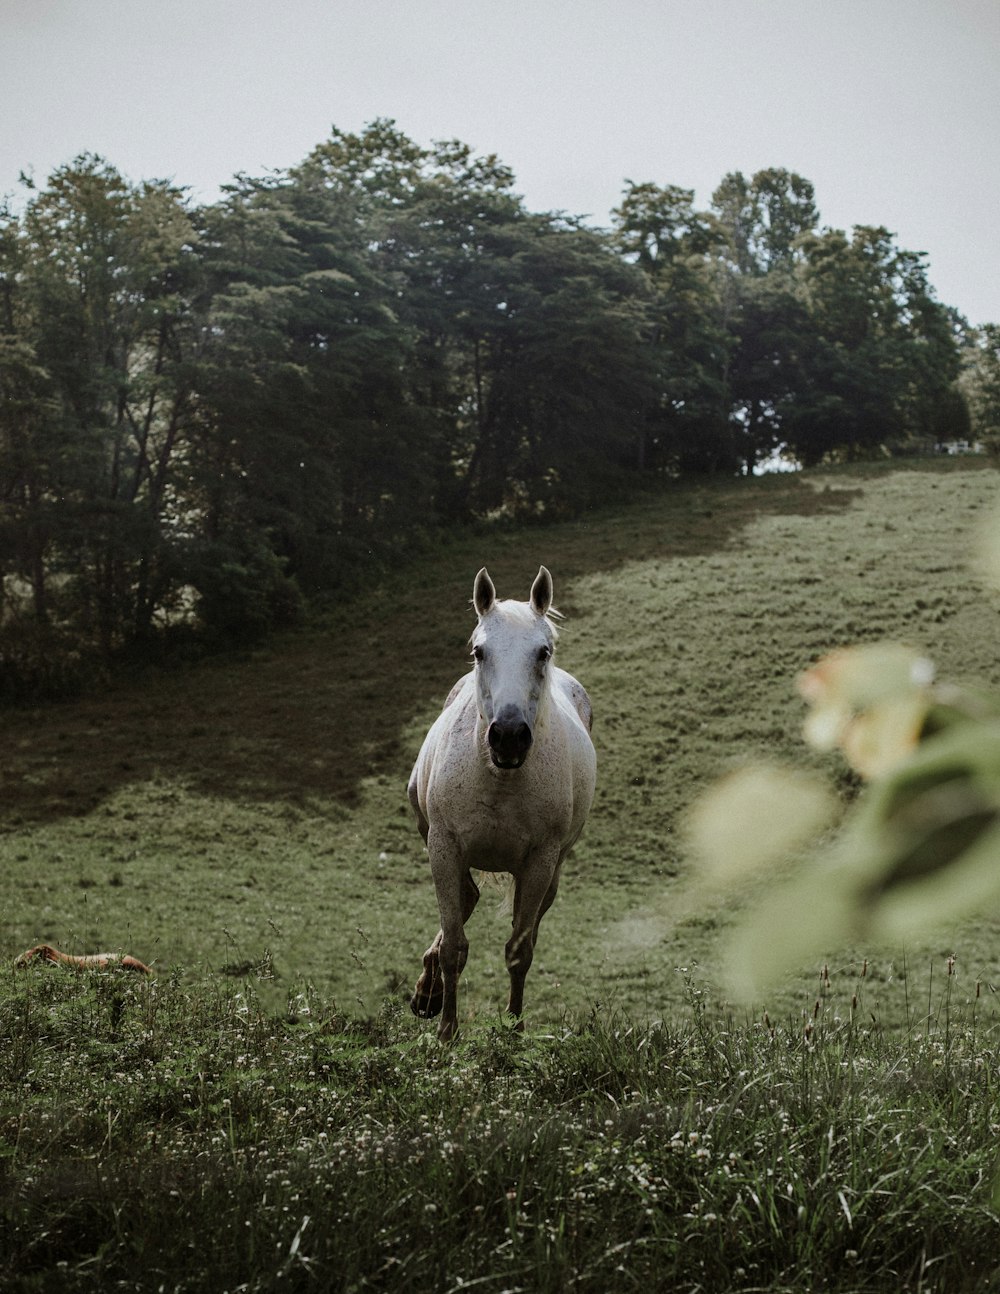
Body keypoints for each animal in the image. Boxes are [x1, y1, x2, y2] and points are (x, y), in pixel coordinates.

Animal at [406, 566, 592, 1040]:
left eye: (543, 651)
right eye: (479, 651)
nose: (508, 736)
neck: (499, 779)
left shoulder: (540, 862)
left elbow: (519, 951)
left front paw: (513, 1027)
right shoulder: (444, 845)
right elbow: (454, 945)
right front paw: (446, 1031)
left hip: (552, 871)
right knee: (466, 899)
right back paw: (428, 993)